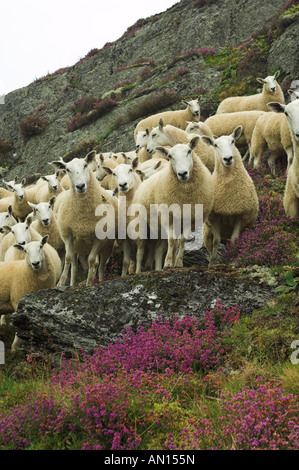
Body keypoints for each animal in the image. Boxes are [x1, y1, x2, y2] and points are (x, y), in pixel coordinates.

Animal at [51, 152, 118, 288]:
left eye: (85, 165)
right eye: (67, 170)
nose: (80, 186)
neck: (82, 217)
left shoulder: (99, 239)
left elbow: (92, 260)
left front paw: (89, 283)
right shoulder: (68, 235)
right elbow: (68, 258)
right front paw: (61, 283)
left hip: (107, 246)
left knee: (101, 265)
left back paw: (101, 280)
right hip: (78, 247)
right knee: (75, 266)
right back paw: (71, 284)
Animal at [132, 136, 214, 274]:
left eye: (189, 151)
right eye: (170, 156)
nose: (182, 173)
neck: (185, 196)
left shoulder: (189, 218)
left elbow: (182, 241)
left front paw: (178, 263)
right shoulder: (168, 216)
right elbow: (171, 240)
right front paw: (168, 264)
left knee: (161, 248)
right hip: (142, 224)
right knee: (140, 250)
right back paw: (138, 271)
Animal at [202, 126, 260, 266]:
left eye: (233, 141)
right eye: (215, 145)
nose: (228, 158)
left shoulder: (241, 215)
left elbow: (234, 239)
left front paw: (233, 259)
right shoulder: (215, 217)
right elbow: (216, 241)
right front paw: (212, 263)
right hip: (207, 232)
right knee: (210, 244)